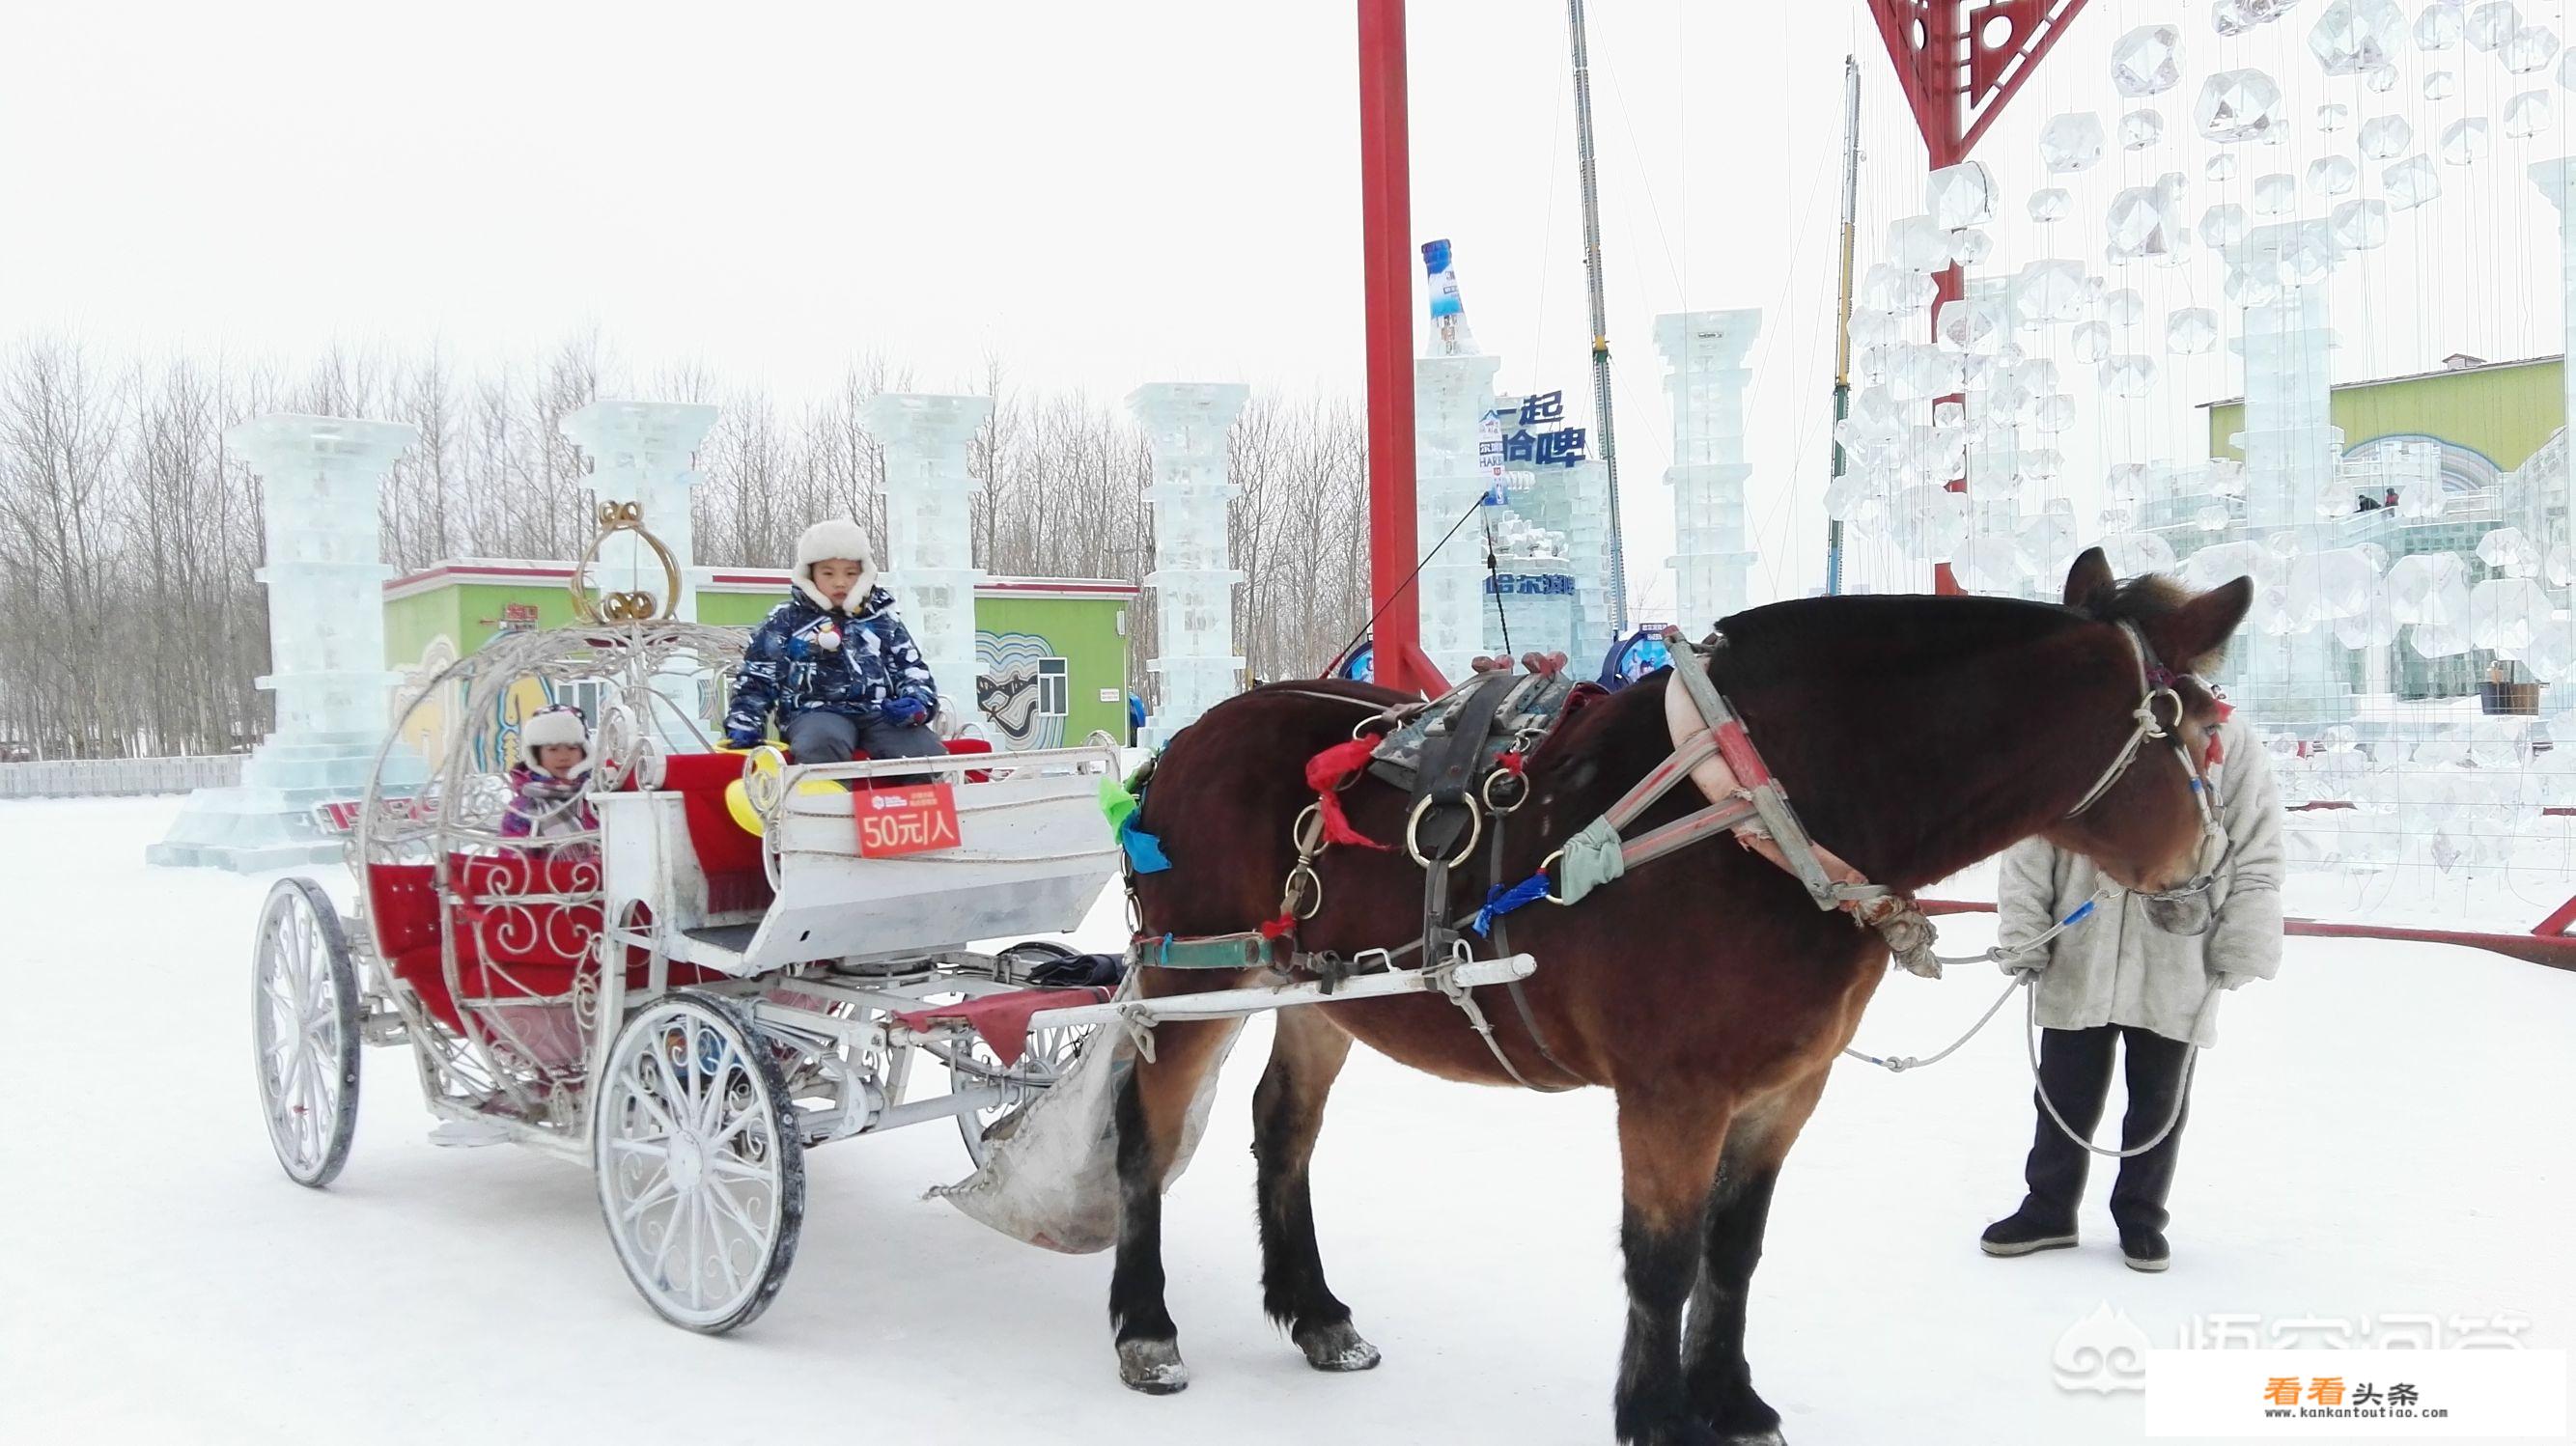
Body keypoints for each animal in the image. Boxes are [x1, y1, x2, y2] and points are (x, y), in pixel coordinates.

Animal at [1107, 546, 2256, 1432]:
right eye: (2198, 723)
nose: (2204, 871)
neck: (1762, 809)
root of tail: (1186, 741)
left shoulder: (1785, 1089)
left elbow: (1732, 1250)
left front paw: (1730, 1398)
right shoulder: (1674, 1094)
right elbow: (1661, 1258)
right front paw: (1656, 1412)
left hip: (1321, 992)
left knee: (1283, 1128)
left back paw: (1313, 1311)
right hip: (1190, 972)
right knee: (1146, 1135)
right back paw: (1145, 1324)